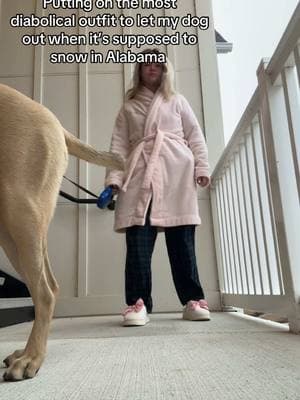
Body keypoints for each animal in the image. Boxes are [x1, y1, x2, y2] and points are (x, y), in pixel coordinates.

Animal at [0, 84, 123, 382]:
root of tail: (54, 121)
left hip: (19, 215)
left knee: (46, 292)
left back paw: (31, 357)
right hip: (15, 231)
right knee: (44, 289)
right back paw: (25, 352)